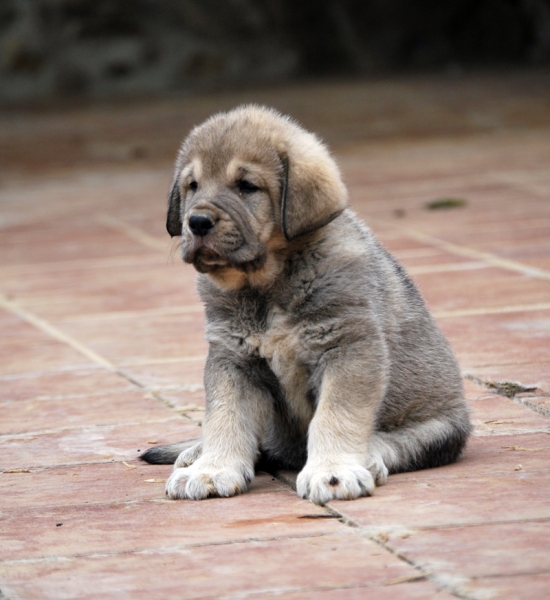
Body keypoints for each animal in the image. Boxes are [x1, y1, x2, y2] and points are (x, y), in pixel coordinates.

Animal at [140, 105, 472, 504]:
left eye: (246, 186)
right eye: (193, 186)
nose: (197, 222)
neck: (267, 286)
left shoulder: (348, 347)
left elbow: (336, 415)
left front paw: (333, 471)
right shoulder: (233, 358)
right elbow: (225, 416)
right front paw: (212, 468)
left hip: (439, 428)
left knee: (394, 443)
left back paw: (369, 456)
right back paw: (195, 453)